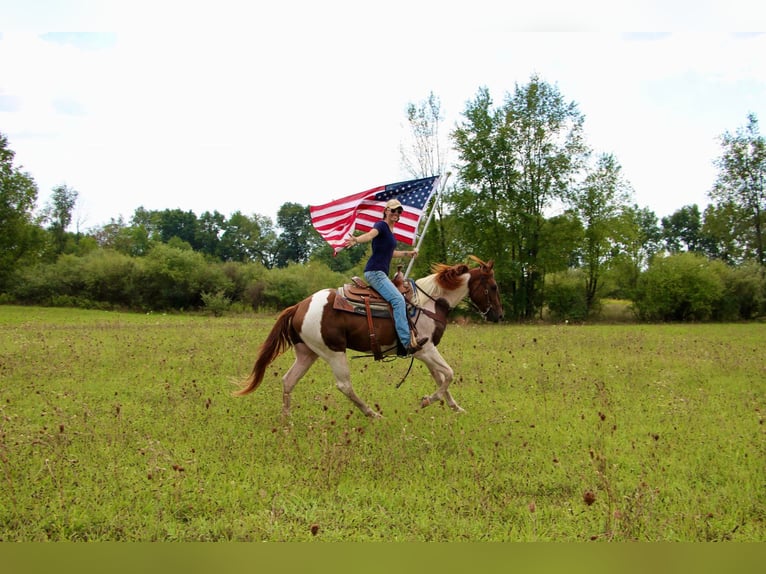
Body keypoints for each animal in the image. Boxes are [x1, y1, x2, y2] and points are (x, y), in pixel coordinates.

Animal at [234, 256, 504, 418]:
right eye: (493, 287)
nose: (499, 315)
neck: (430, 301)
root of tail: (300, 305)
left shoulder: (425, 352)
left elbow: (441, 378)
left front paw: (456, 407)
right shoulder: (425, 349)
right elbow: (448, 374)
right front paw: (427, 400)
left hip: (307, 353)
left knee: (289, 381)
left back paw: (287, 420)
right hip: (333, 352)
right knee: (344, 385)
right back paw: (372, 414)